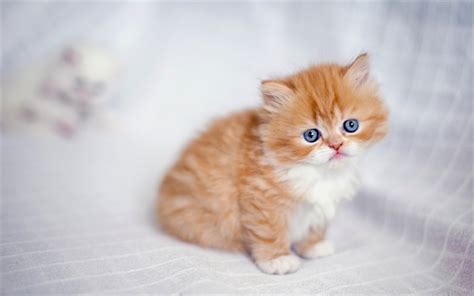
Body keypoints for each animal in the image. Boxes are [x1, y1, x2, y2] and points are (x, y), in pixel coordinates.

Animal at [157, 53, 386, 276]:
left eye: (351, 125)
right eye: (311, 135)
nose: (336, 145)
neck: (320, 173)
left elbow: (315, 224)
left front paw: (313, 245)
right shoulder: (261, 199)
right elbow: (269, 230)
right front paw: (278, 259)